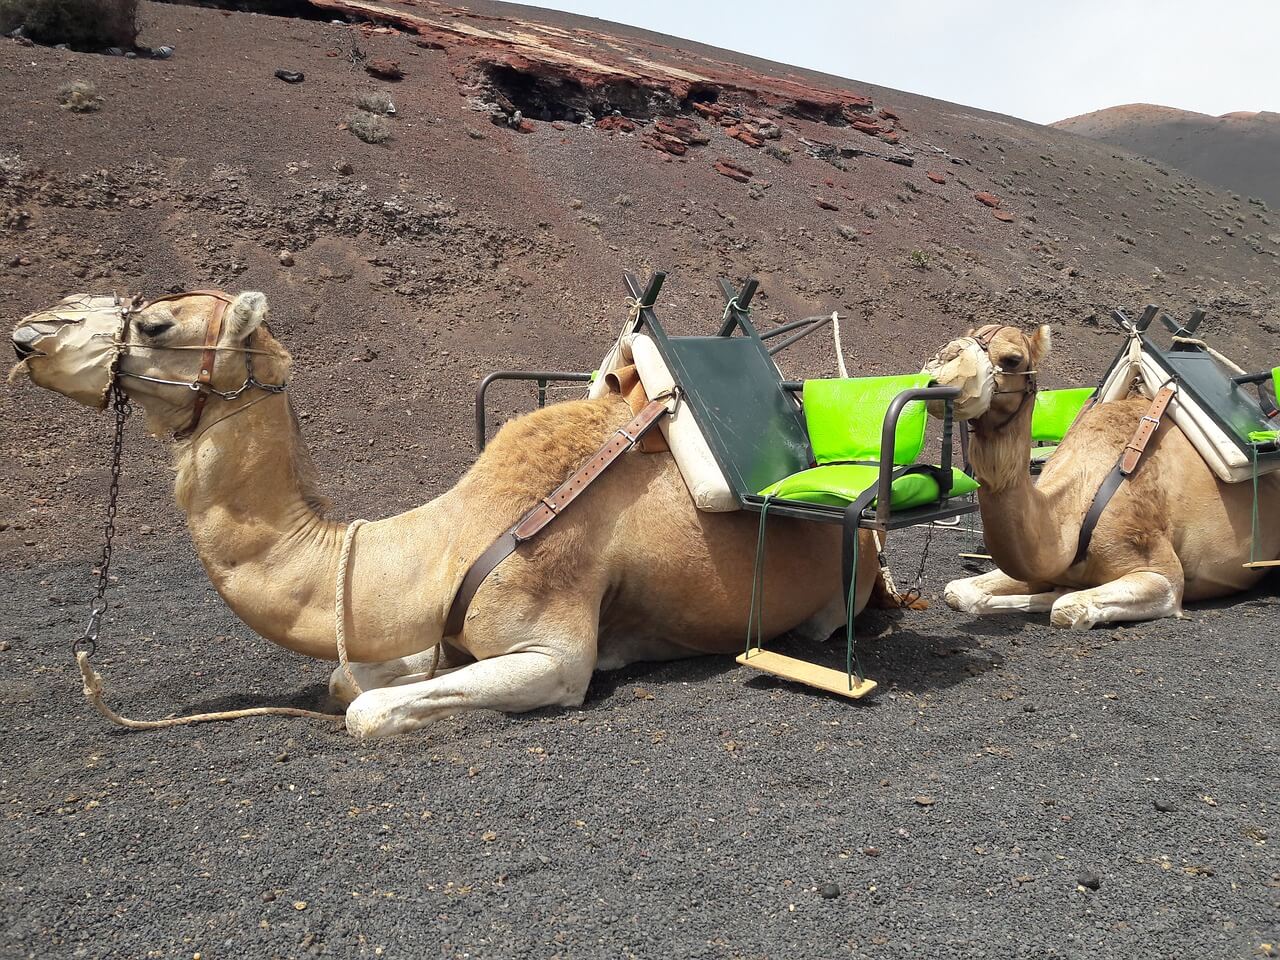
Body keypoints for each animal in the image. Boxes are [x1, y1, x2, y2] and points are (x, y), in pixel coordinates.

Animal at [7, 289, 880, 742]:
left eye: (155, 324)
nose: (27, 335)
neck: (447, 538)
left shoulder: (552, 651)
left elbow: (364, 712)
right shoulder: (433, 626)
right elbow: (346, 676)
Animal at [926, 323, 1274, 632]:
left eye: (1012, 359)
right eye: (958, 341)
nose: (943, 367)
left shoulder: (1163, 575)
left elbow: (1065, 607)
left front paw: (1060, 596)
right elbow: (958, 591)